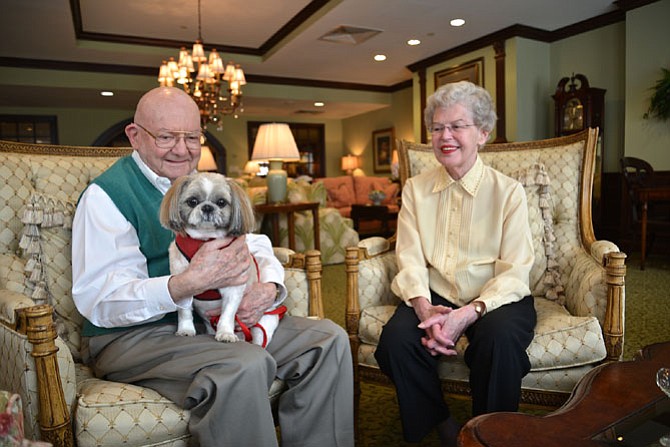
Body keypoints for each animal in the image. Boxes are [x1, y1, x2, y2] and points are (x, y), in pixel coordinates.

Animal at [161, 172, 286, 346]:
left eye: (221, 202)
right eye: (192, 201)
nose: (207, 207)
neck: (204, 240)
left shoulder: (233, 288)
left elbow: (227, 313)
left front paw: (225, 333)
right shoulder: (184, 284)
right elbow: (184, 311)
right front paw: (186, 330)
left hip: (264, 324)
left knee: (259, 339)